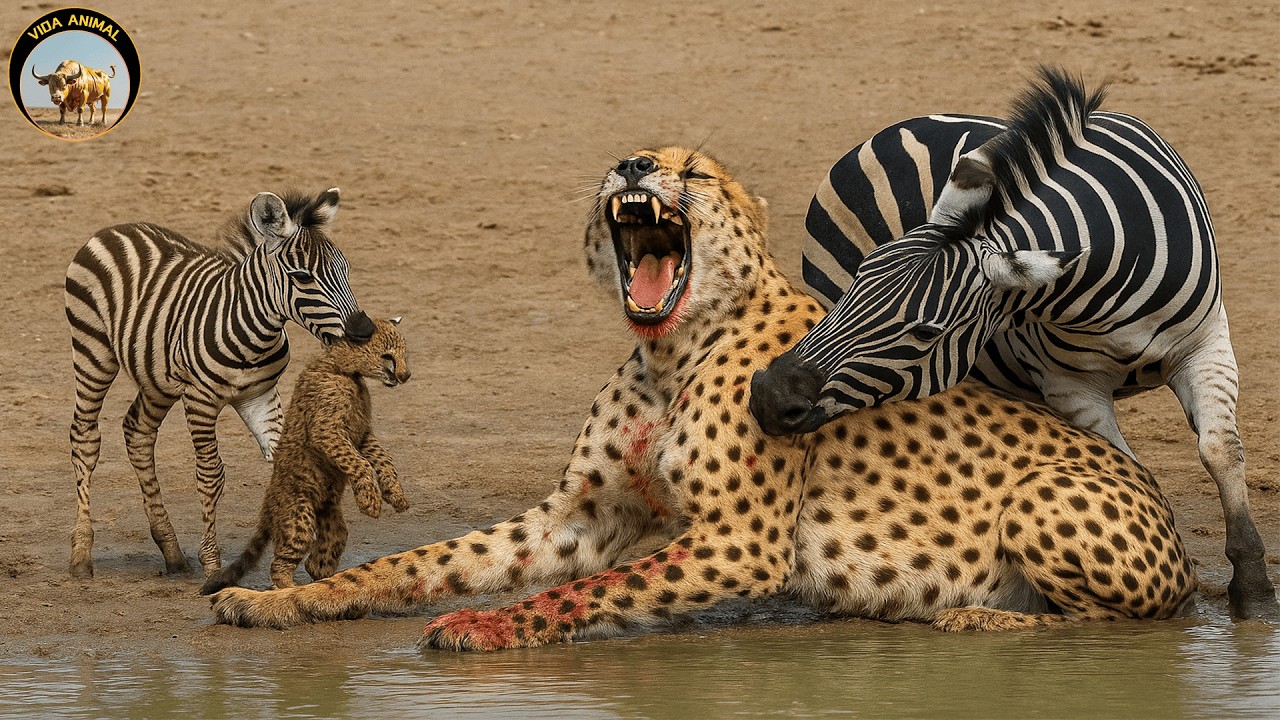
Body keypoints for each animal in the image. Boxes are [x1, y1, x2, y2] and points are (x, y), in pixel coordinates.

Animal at [64, 188, 375, 579]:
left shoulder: (259, 395)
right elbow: (211, 476)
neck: (255, 331)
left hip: (158, 378)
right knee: (85, 438)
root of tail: (114, 228)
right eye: (303, 276)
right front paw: (212, 563)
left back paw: (171, 551)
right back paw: (81, 554)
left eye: (345, 270)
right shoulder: (200, 399)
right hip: (92, 350)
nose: (364, 331)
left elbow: (286, 462)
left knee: (138, 433)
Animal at [749, 67, 1278, 620]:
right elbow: (1124, 464)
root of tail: (898, 126)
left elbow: (1221, 449)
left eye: (925, 332)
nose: (767, 395)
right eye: (858, 281)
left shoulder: (1206, 341)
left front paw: (1254, 592)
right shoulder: (1072, 384)